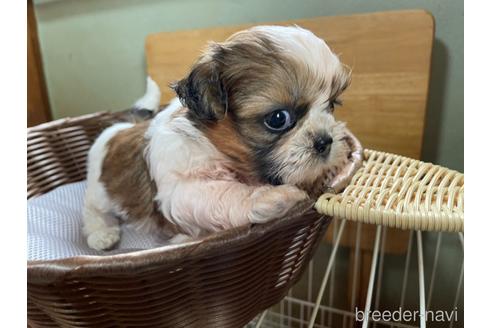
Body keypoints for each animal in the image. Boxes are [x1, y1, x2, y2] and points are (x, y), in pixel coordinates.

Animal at [82, 26, 362, 251]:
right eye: (278, 118)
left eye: (331, 105)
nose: (325, 141)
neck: (218, 150)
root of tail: (121, 125)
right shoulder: (179, 189)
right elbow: (222, 192)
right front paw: (269, 197)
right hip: (99, 192)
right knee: (92, 211)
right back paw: (102, 234)